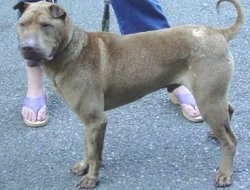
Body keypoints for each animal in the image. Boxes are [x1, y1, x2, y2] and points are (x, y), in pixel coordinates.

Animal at [13, 0, 244, 189]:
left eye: (46, 25)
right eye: (22, 24)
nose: (27, 48)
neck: (72, 50)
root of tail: (219, 32)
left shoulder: (95, 120)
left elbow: (93, 154)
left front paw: (92, 178)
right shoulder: (90, 123)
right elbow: (89, 148)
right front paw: (84, 166)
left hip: (207, 100)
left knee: (231, 141)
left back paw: (225, 173)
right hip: (212, 96)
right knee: (229, 113)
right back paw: (216, 135)